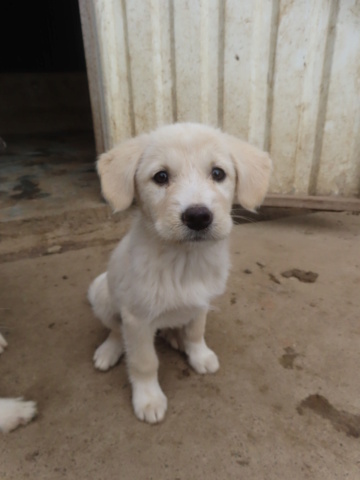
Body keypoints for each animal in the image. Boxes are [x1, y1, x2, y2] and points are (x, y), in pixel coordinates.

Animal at [88, 124, 272, 424]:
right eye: (161, 177)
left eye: (218, 173)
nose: (198, 217)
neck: (184, 261)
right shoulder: (136, 319)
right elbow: (143, 361)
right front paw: (148, 398)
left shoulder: (201, 303)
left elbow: (196, 332)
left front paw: (199, 355)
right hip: (105, 297)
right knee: (115, 329)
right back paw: (110, 350)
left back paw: (175, 337)